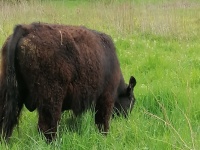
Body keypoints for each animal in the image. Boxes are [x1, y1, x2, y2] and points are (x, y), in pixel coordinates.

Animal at [0, 22, 136, 141]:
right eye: (132, 101)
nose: (127, 119)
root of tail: (26, 29)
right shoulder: (106, 97)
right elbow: (102, 121)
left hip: (9, 93)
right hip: (51, 98)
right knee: (47, 125)